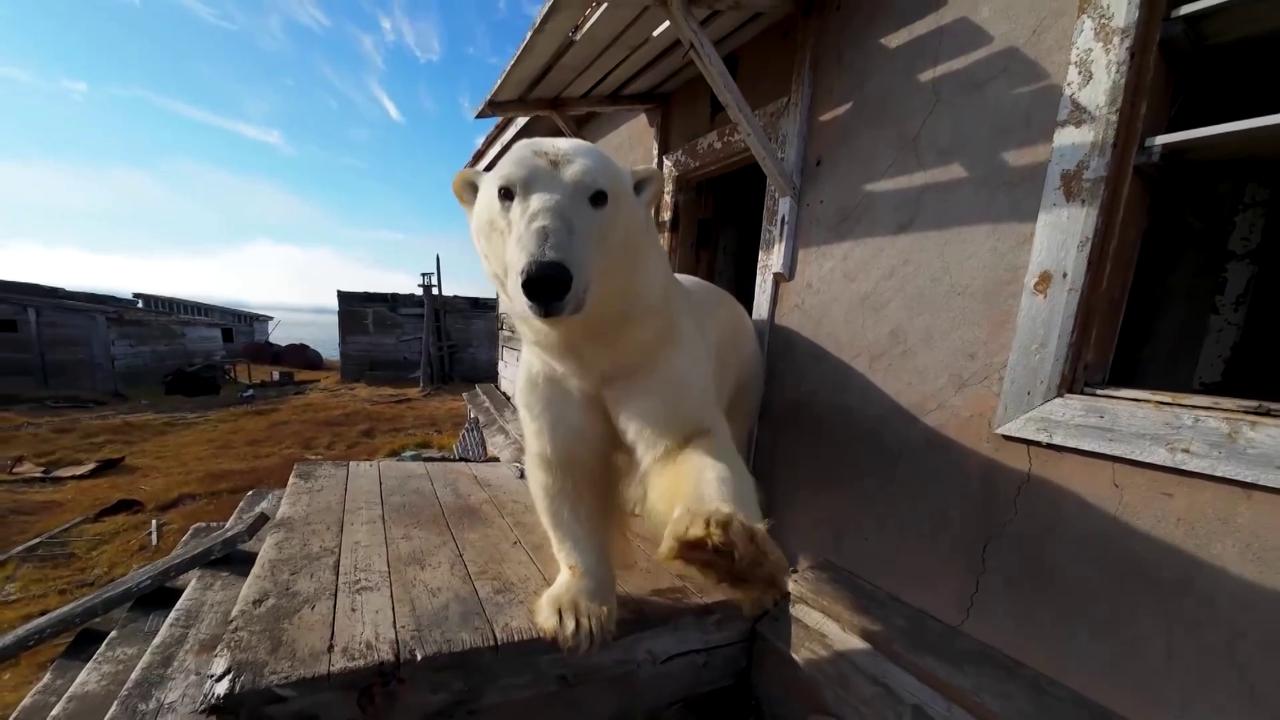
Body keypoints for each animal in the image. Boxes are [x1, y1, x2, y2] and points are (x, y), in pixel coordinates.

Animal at [452, 137, 788, 652]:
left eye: (598, 196)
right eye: (506, 191)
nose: (546, 277)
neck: (599, 343)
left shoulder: (656, 358)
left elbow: (686, 443)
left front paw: (720, 546)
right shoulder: (556, 377)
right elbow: (569, 468)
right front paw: (576, 612)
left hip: (744, 370)